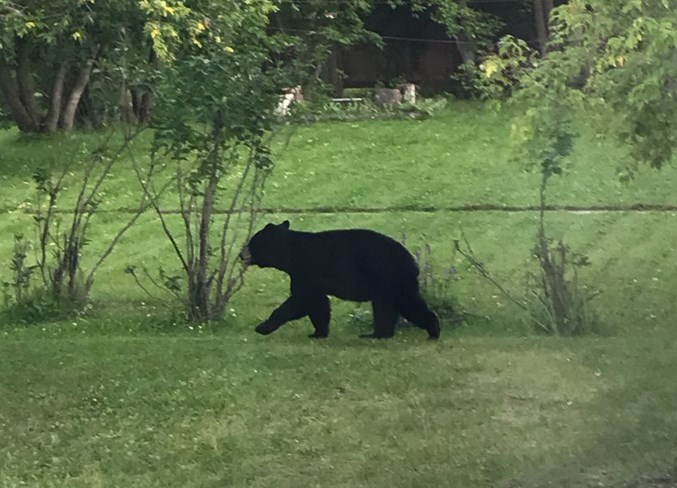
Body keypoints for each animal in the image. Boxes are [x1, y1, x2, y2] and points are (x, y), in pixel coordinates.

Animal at [238, 221, 438, 340]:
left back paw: (430, 329)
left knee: (401, 304)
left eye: (251, 243)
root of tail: (412, 261)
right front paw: (318, 332)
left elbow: (302, 299)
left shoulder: (307, 269)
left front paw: (263, 327)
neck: (291, 254)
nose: (240, 255)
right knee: (390, 306)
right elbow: (318, 303)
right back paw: (380, 333)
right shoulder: (303, 274)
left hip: (388, 276)